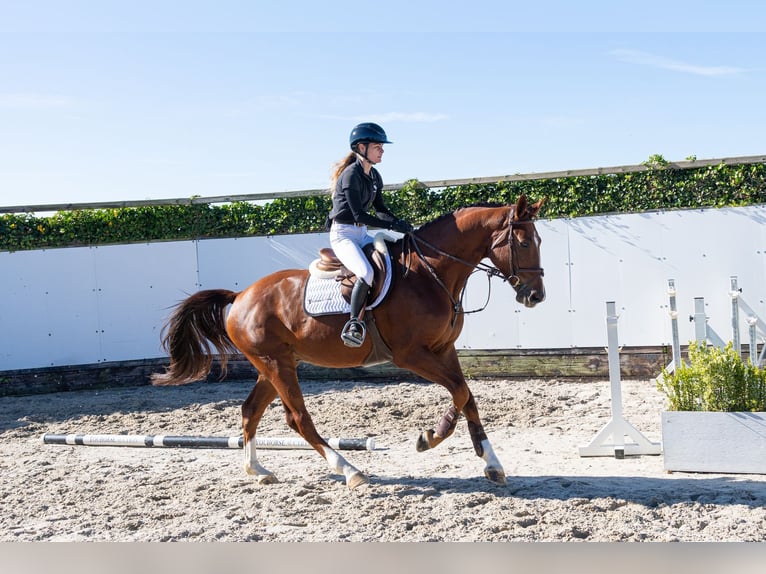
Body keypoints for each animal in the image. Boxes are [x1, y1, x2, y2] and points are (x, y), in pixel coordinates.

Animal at [151, 194, 546, 489]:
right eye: (524, 242)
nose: (536, 296)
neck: (430, 274)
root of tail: (240, 296)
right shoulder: (411, 355)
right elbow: (460, 393)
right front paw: (430, 436)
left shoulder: (443, 350)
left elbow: (467, 397)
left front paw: (492, 464)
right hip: (276, 364)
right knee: (298, 418)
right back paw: (350, 470)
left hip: (274, 363)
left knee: (251, 410)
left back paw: (258, 471)